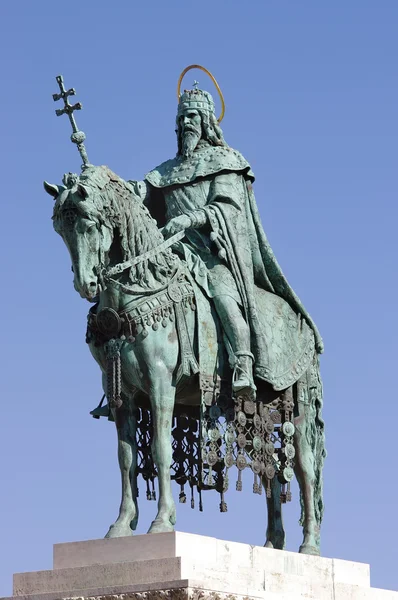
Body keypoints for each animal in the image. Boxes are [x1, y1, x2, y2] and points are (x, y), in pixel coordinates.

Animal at [44, 163, 326, 552]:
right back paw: (272, 545)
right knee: (271, 470)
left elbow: (161, 449)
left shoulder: (162, 383)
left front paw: (162, 521)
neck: (141, 287)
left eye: (89, 223)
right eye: (60, 229)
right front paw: (121, 525)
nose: (86, 285)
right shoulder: (124, 394)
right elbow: (126, 459)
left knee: (305, 469)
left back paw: (308, 546)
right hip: (258, 411)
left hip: (297, 407)